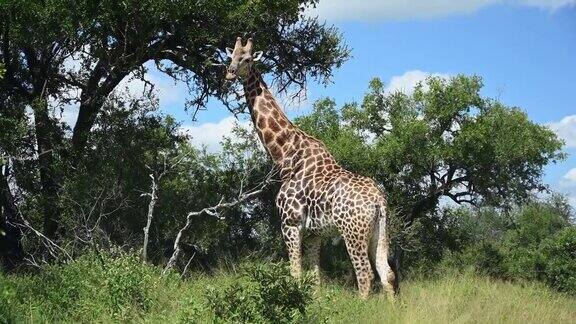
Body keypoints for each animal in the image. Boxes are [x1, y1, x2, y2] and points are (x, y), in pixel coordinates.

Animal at [225, 37, 396, 298]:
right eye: (230, 57)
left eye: (247, 59)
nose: (230, 73)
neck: (285, 156)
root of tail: (379, 200)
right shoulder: (315, 233)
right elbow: (315, 279)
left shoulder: (290, 223)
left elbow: (295, 274)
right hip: (380, 230)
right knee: (387, 273)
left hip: (352, 232)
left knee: (365, 274)